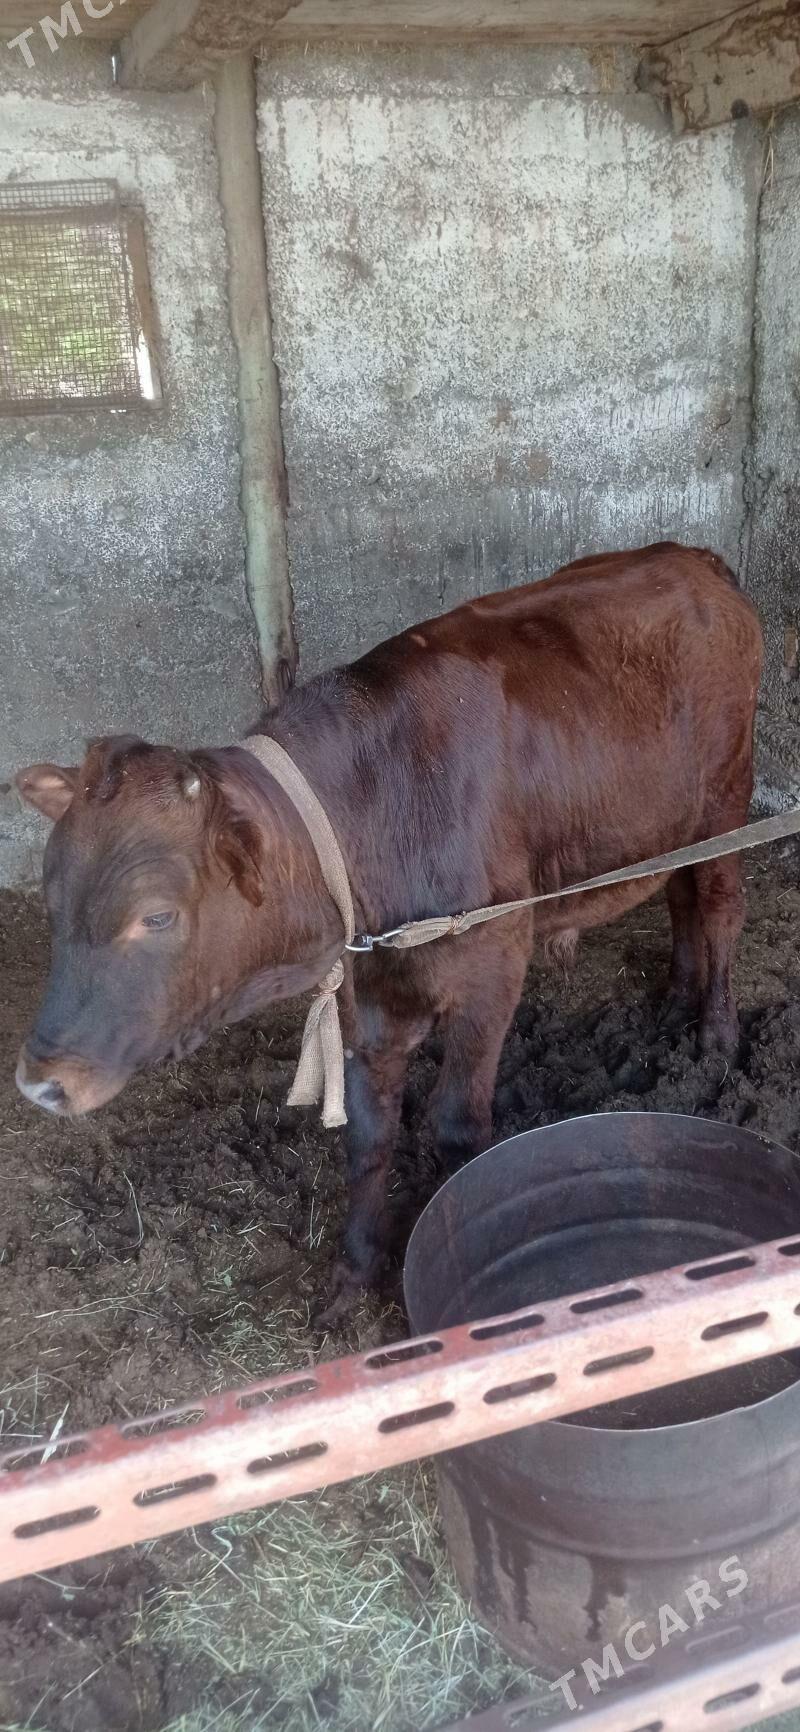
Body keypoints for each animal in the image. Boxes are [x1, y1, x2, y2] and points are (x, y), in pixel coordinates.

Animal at [15, 543, 763, 1309]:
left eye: (156, 915)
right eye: (53, 898)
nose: (41, 1082)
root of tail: (692, 557)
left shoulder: (494, 962)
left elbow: (458, 1127)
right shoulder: (366, 994)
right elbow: (370, 1135)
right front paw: (354, 1271)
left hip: (726, 795)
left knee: (718, 906)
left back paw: (716, 1034)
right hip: (672, 822)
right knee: (680, 895)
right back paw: (674, 999)